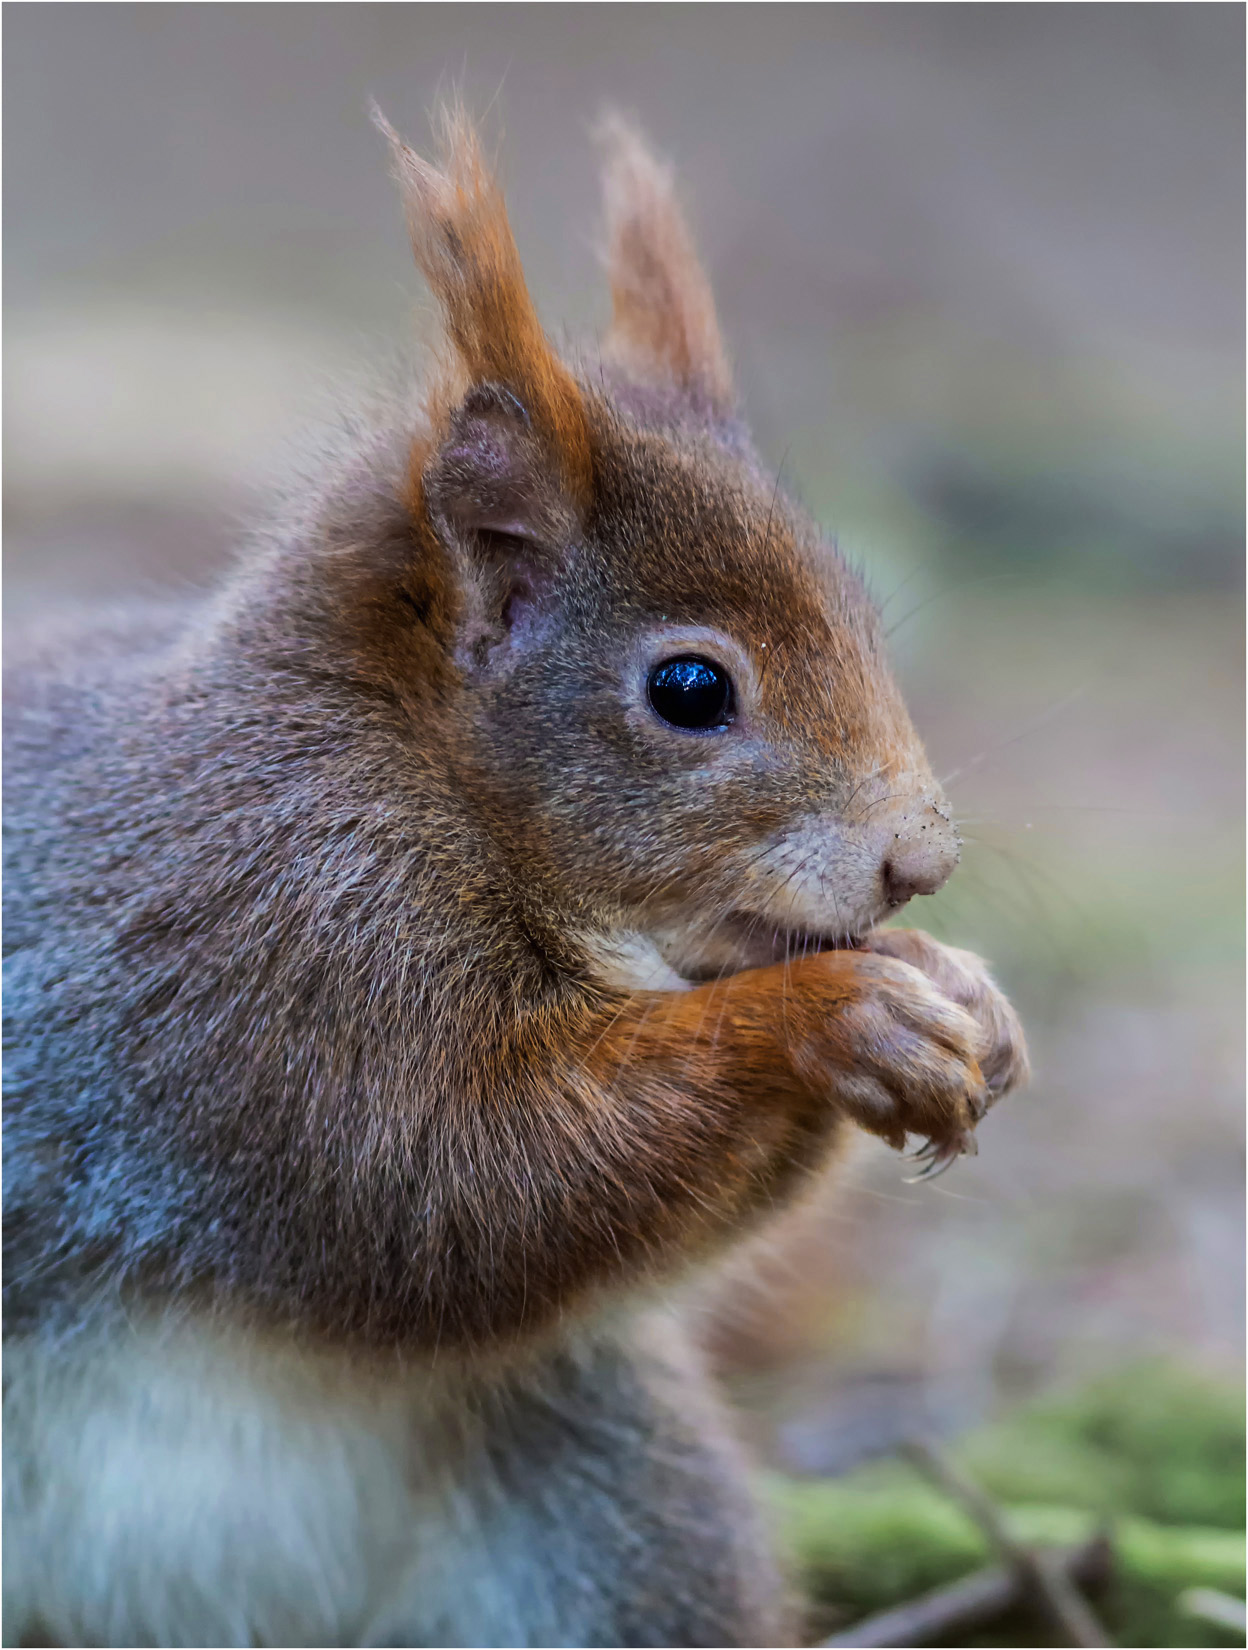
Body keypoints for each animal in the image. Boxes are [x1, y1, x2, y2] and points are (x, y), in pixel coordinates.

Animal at [4, 109, 1030, 1643]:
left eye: (860, 606)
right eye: (688, 688)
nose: (921, 862)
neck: (422, 774)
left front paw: (954, 990)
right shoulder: (268, 947)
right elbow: (454, 1179)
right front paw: (837, 1016)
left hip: (612, 1521)